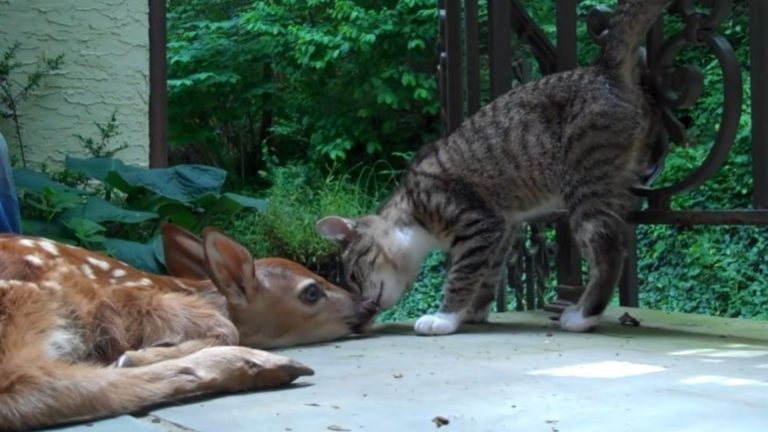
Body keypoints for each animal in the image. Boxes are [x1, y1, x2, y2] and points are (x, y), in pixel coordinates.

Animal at [316, 0, 668, 336]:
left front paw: (444, 318)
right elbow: (487, 277)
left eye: (353, 274)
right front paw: (473, 311)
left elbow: (461, 275)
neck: (412, 210)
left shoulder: (477, 222)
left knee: (609, 250)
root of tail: (601, 69)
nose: (367, 305)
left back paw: (583, 315)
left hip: (585, 183)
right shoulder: (504, 228)